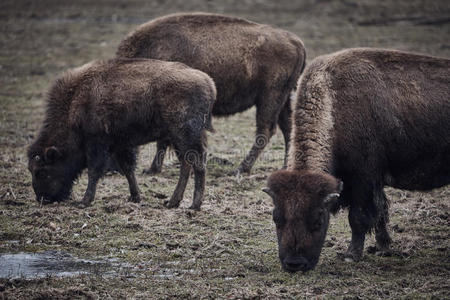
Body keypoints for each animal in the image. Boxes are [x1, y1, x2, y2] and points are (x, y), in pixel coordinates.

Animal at [27, 57, 216, 210]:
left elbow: (94, 171)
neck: (75, 100)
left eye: (41, 171)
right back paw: (172, 202)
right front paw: (135, 197)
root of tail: (208, 82)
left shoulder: (97, 143)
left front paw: (84, 201)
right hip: (178, 138)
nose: (42, 199)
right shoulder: (120, 145)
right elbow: (128, 169)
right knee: (187, 164)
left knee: (196, 163)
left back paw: (193, 205)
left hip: (185, 135)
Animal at [116, 12, 306, 175]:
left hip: (269, 98)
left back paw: (240, 169)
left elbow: (162, 141)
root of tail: (296, 42)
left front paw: (152, 169)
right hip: (282, 99)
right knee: (287, 128)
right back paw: (285, 167)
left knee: (266, 130)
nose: (117, 168)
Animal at [264, 47, 450, 272]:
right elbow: (380, 213)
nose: (294, 264)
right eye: (276, 218)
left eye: (319, 219)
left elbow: (358, 218)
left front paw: (351, 255)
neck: (333, 105)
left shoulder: (363, 179)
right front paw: (383, 247)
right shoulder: (372, 184)